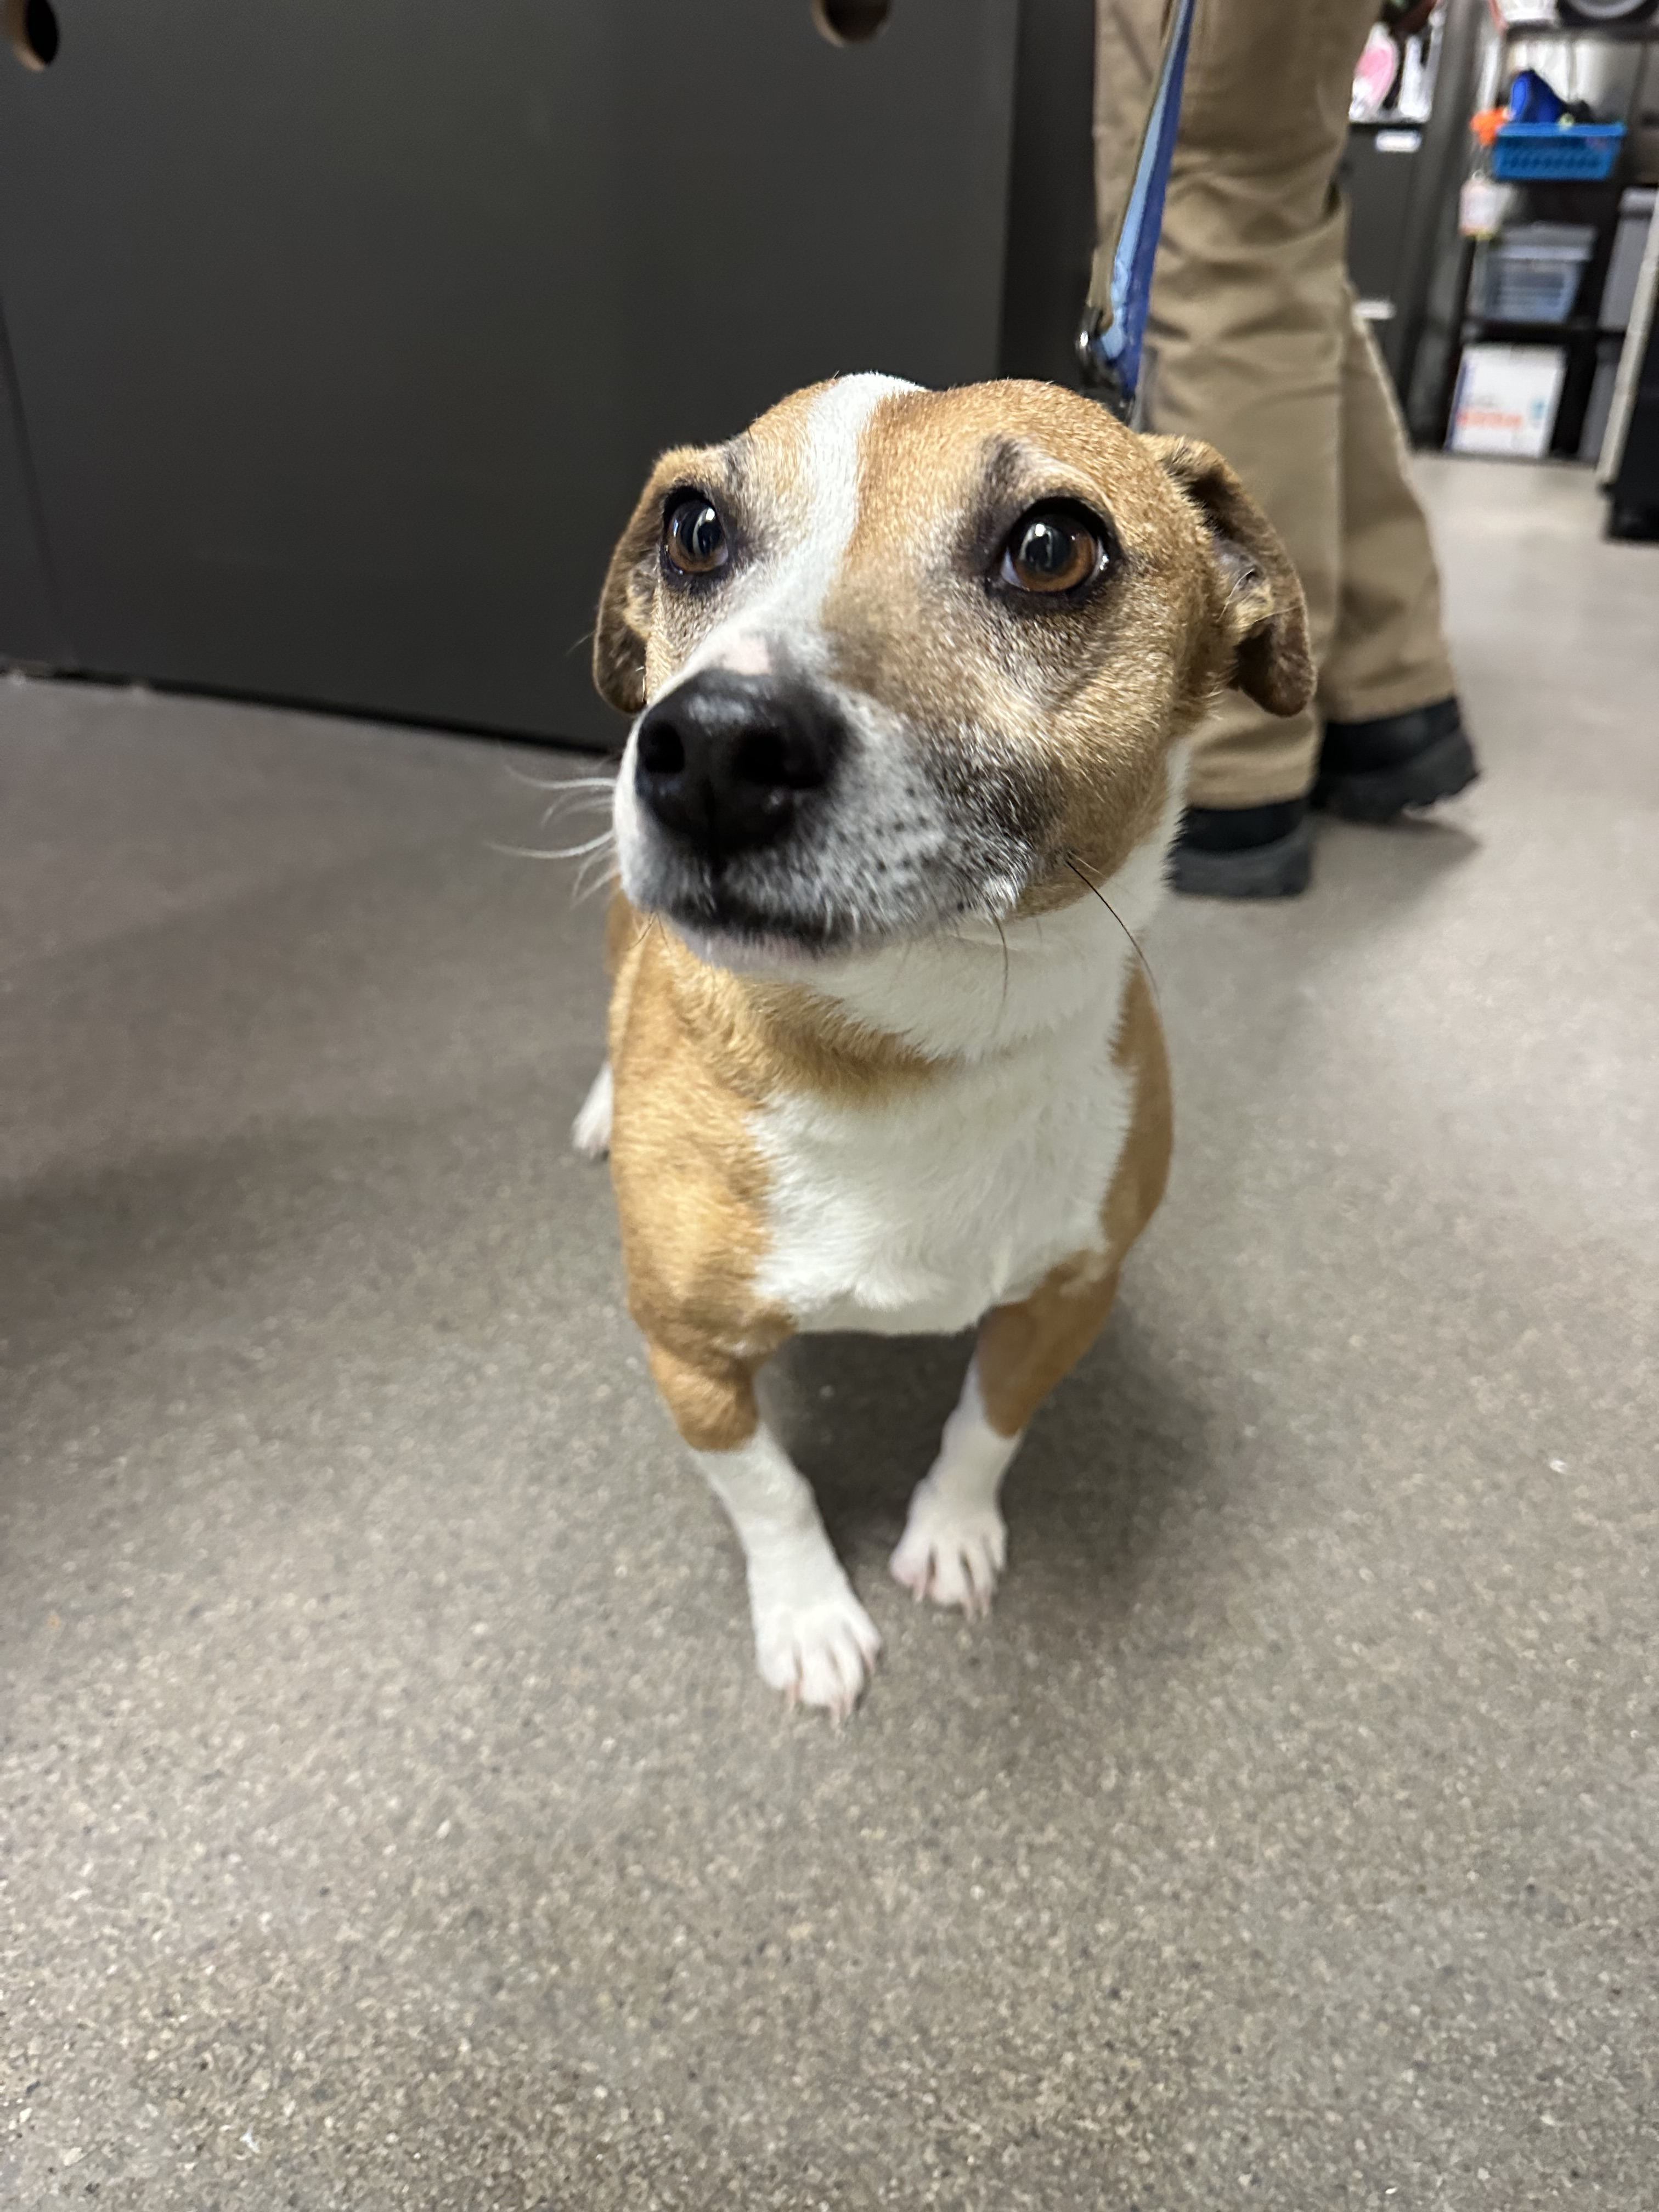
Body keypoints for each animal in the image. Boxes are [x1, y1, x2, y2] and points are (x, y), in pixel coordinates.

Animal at [572, 374, 1311, 1718]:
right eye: (697, 531)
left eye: (1052, 548)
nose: (713, 744)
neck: (899, 1048)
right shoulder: (688, 1354)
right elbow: (770, 1492)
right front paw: (809, 1615)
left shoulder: (1067, 1298)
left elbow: (984, 1426)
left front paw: (952, 1534)